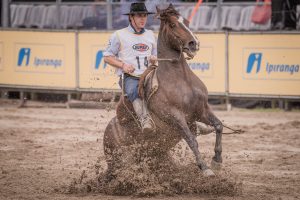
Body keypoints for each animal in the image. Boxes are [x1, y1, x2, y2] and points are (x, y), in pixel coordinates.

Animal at [103, 3, 223, 177]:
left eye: (187, 21)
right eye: (172, 24)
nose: (194, 43)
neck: (181, 79)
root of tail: (108, 131)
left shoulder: (201, 110)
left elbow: (219, 126)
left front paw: (217, 161)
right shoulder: (175, 116)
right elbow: (191, 140)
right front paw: (205, 168)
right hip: (120, 161)